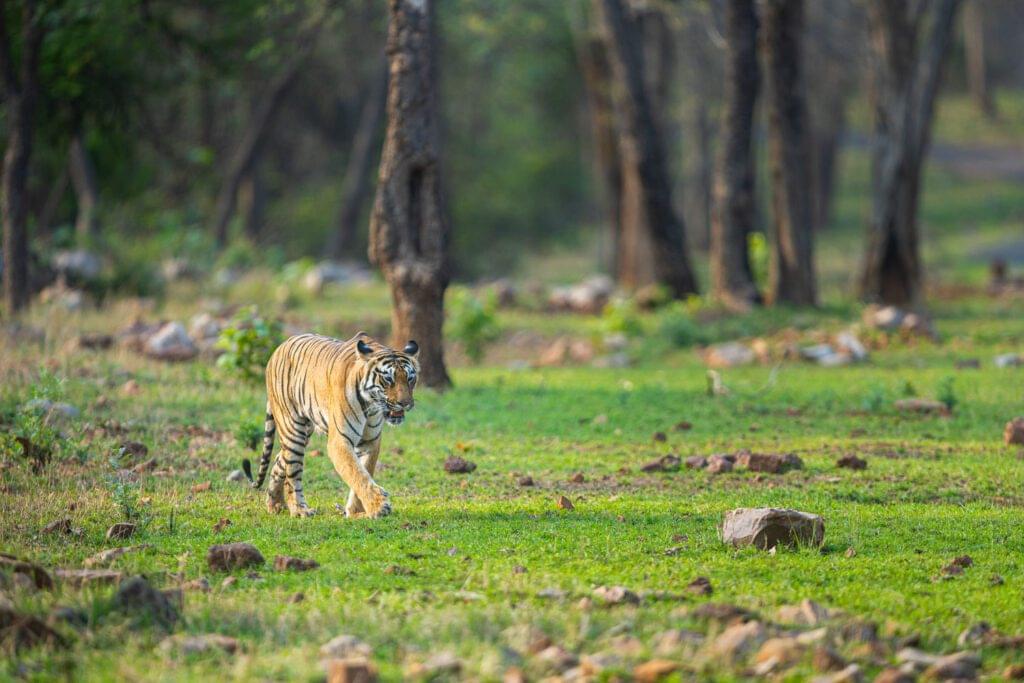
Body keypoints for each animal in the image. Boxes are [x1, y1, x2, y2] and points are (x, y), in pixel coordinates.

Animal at [241, 332, 419, 518]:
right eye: (388, 379)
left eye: (410, 378)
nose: (405, 403)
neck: (371, 406)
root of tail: (279, 348)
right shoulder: (339, 441)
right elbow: (356, 473)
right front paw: (378, 506)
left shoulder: (371, 442)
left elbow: (364, 472)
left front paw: (356, 512)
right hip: (293, 429)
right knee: (292, 474)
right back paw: (300, 510)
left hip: (304, 432)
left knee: (279, 460)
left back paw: (275, 504)